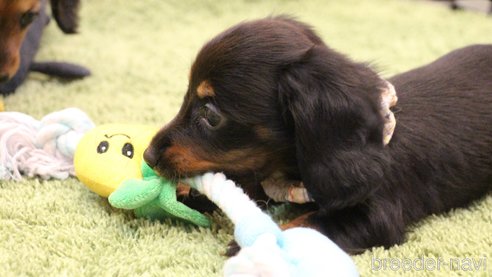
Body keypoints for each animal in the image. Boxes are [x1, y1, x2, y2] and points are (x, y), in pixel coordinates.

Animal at [143, 15, 492, 252]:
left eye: (212, 116)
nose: (147, 156)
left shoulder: (377, 215)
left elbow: (312, 222)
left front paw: (262, 241)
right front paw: (189, 195)